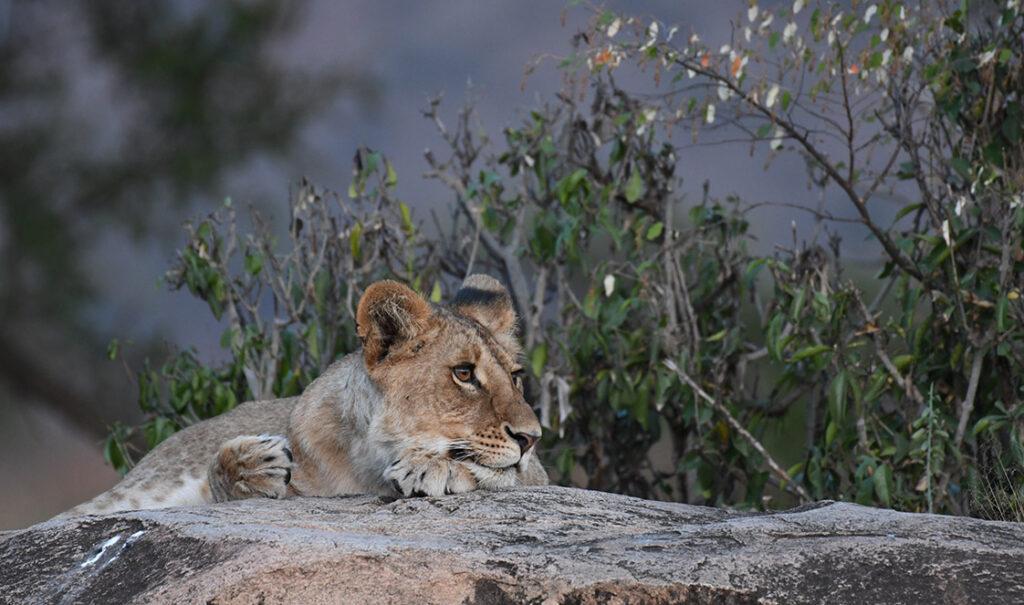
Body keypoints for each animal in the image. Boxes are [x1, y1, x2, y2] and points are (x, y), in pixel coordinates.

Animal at [59, 274, 548, 515]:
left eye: (515, 376)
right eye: (464, 373)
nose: (531, 438)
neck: (364, 464)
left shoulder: (540, 476)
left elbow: (512, 476)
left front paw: (433, 468)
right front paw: (253, 466)